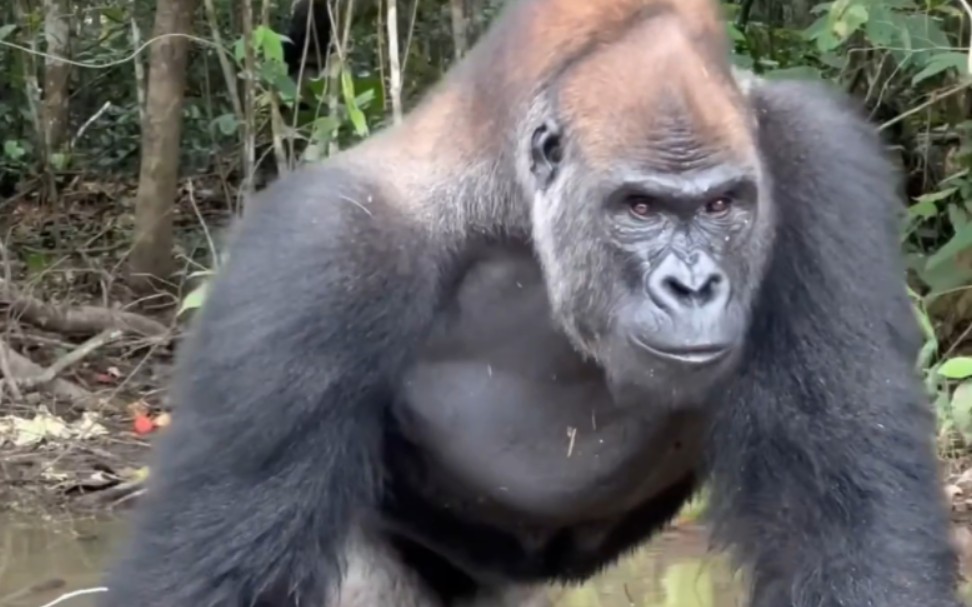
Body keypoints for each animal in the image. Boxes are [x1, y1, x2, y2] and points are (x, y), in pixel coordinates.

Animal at [98, 1, 964, 607]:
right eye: (640, 208)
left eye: (722, 206)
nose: (693, 286)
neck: (508, 202)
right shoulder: (319, 254)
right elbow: (211, 577)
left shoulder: (816, 161)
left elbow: (848, 532)